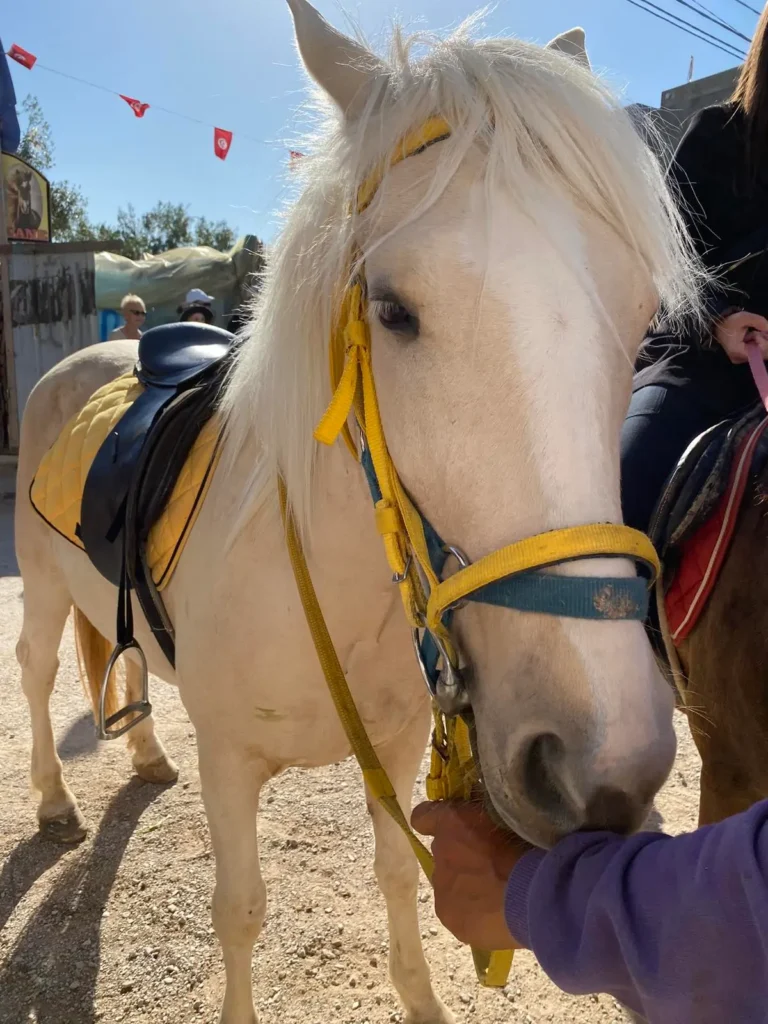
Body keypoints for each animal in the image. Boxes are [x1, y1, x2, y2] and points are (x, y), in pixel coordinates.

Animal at [14, 2, 703, 1021]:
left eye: (642, 319)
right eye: (392, 309)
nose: (604, 759)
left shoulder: (398, 745)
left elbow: (401, 878)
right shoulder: (230, 764)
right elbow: (239, 912)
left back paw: (142, 758)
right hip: (40, 583)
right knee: (36, 670)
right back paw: (56, 800)